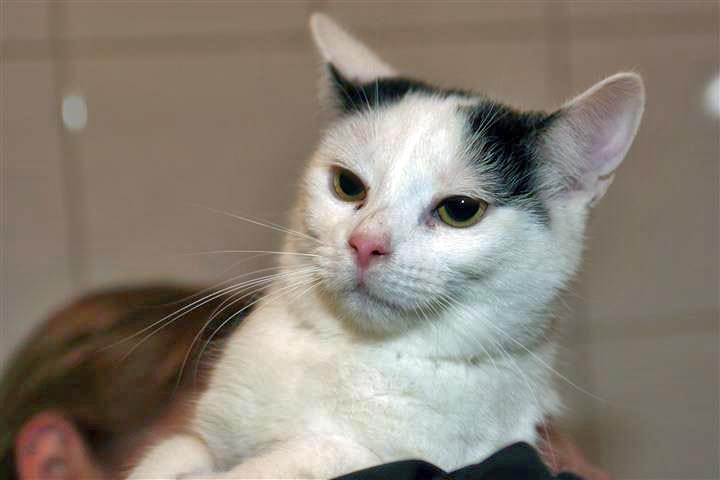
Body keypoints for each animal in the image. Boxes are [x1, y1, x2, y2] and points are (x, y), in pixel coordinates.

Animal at [128, 13, 644, 480]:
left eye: (460, 210)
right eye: (347, 185)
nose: (365, 244)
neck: (350, 353)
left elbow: (309, 457)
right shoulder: (197, 440)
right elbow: (172, 453)